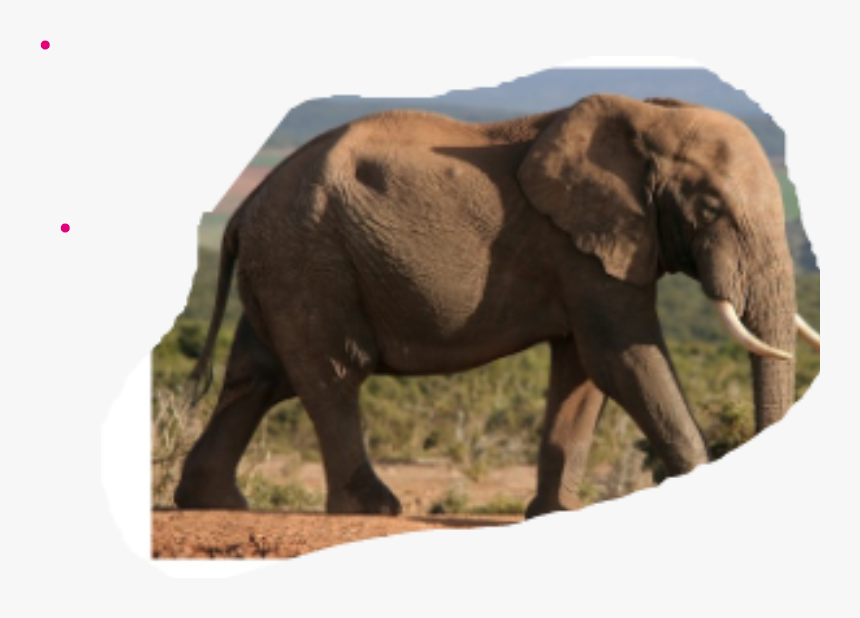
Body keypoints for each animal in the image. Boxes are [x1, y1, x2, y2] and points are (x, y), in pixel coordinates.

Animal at [174, 94, 820, 518]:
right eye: (709, 209)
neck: (649, 117)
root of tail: (242, 208)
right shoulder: (577, 246)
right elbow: (620, 357)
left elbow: (583, 371)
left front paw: (556, 512)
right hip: (309, 260)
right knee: (331, 374)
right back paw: (373, 509)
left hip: (284, 265)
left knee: (257, 375)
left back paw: (213, 503)